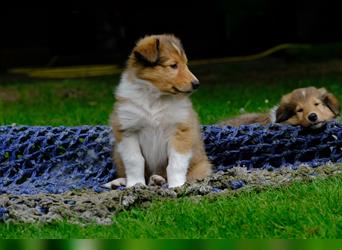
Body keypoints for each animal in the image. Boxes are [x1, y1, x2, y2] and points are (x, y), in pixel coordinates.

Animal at [104, 34, 211, 188]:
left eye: (186, 63)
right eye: (173, 65)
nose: (197, 84)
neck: (155, 98)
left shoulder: (181, 131)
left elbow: (175, 163)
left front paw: (176, 186)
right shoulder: (128, 130)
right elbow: (134, 160)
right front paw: (135, 184)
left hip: (201, 165)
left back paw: (158, 179)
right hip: (117, 153)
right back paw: (120, 182)